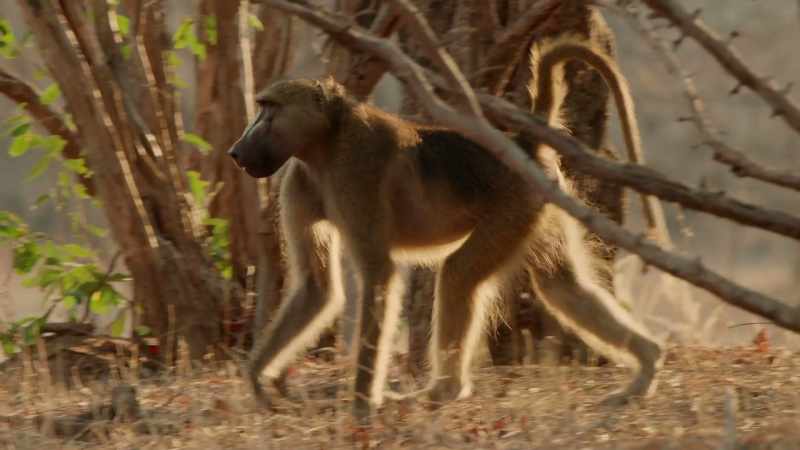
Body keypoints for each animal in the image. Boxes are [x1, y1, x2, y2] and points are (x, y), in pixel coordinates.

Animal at [228, 36, 664, 421]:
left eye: (269, 109)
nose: (236, 151)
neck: (326, 141)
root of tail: (524, 145)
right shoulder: (298, 182)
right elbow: (318, 288)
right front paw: (258, 378)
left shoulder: (355, 171)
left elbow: (379, 275)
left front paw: (360, 406)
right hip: (538, 206)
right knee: (562, 286)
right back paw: (646, 367)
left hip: (513, 209)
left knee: (458, 274)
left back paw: (443, 390)